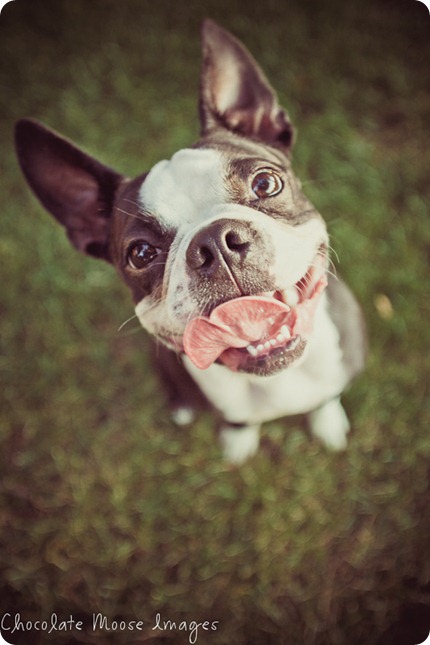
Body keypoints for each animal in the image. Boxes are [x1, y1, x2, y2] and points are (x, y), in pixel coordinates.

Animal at [14, 18, 366, 462]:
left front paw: (327, 423)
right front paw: (238, 442)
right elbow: (237, 419)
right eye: (141, 253)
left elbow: (325, 398)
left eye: (266, 183)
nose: (216, 242)